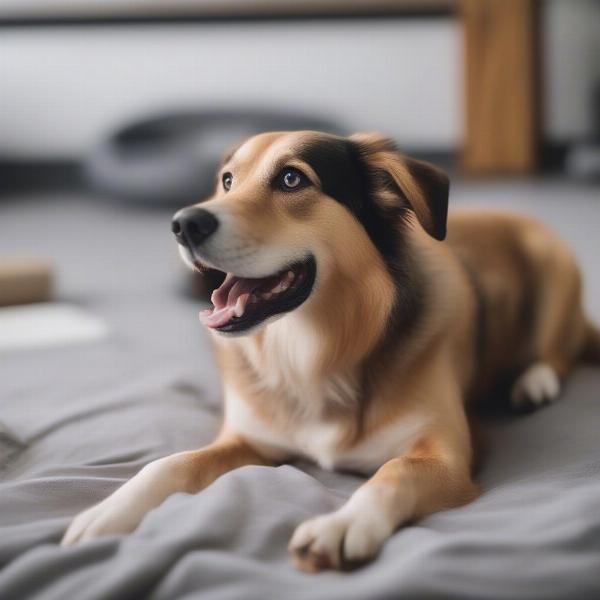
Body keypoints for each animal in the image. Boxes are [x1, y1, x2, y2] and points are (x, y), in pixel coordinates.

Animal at [62, 131, 600, 572]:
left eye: (291, 178)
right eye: (228, 181)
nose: (182, 224)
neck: (311, 351)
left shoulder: (446, 456)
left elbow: (393, 473)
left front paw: (342, 525)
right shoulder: (250, 440)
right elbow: (172, 464)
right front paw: (109, 511)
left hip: (555, 269)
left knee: (557, 350)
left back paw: (534, 382)